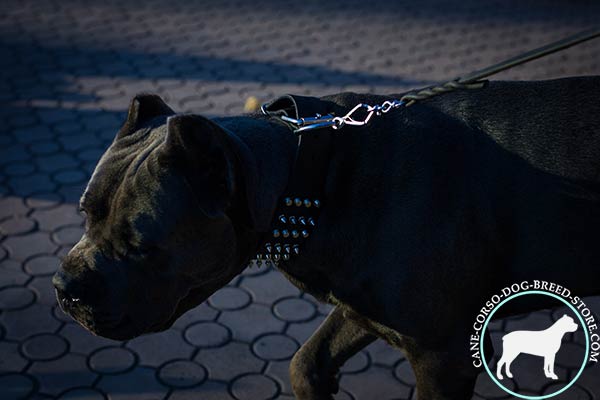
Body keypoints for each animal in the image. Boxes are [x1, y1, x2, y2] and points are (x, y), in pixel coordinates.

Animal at [52, 76, 600, 398]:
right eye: (84, 215)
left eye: (141, 245)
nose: (63, 289)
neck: (311, 179)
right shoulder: (364, 308)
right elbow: (306, 361)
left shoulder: (440, 355)